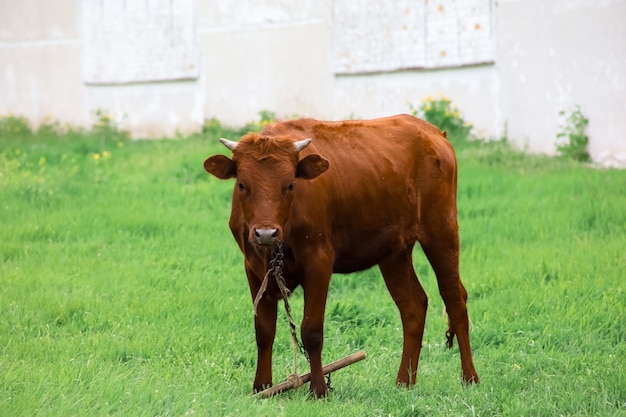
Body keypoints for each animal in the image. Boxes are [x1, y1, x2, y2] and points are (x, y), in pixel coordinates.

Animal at [205, 114, 478, 396]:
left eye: (290, 185)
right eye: (242, 185)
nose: (266, 233)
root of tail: (432, 132)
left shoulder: (319, 263)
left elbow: (311, 331)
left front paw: (318, 390)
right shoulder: (253, 267)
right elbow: (263, 330)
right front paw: (262, 387)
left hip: (441, 231)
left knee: (455, 299)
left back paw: (469, 378)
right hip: (394, 251)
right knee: (413, 306)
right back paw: (404, 382)